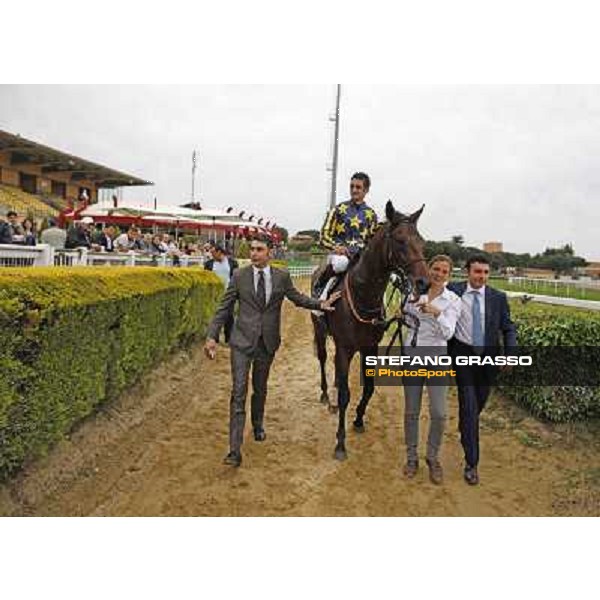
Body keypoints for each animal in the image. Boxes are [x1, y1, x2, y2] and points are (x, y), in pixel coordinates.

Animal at [312, 200, 428, 460]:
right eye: (400, 240)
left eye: (422, 241)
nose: (424, 282)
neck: (362, 295)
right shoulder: (345, 349)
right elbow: (346, 395)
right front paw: (340, 443)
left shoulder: (369, 349)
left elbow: (369, 388)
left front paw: (358, 419)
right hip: (319, 330)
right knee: (323, 359)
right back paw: (326, 394)